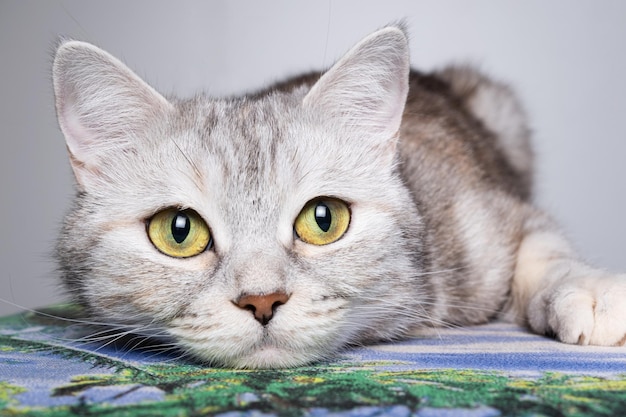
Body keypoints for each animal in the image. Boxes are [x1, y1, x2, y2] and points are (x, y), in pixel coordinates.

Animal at [52, 25, 624, 368]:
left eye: (323, 219)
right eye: (178, 230)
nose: (262, 300)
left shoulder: (494, 215)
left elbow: (544, 252)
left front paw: (590, 293)